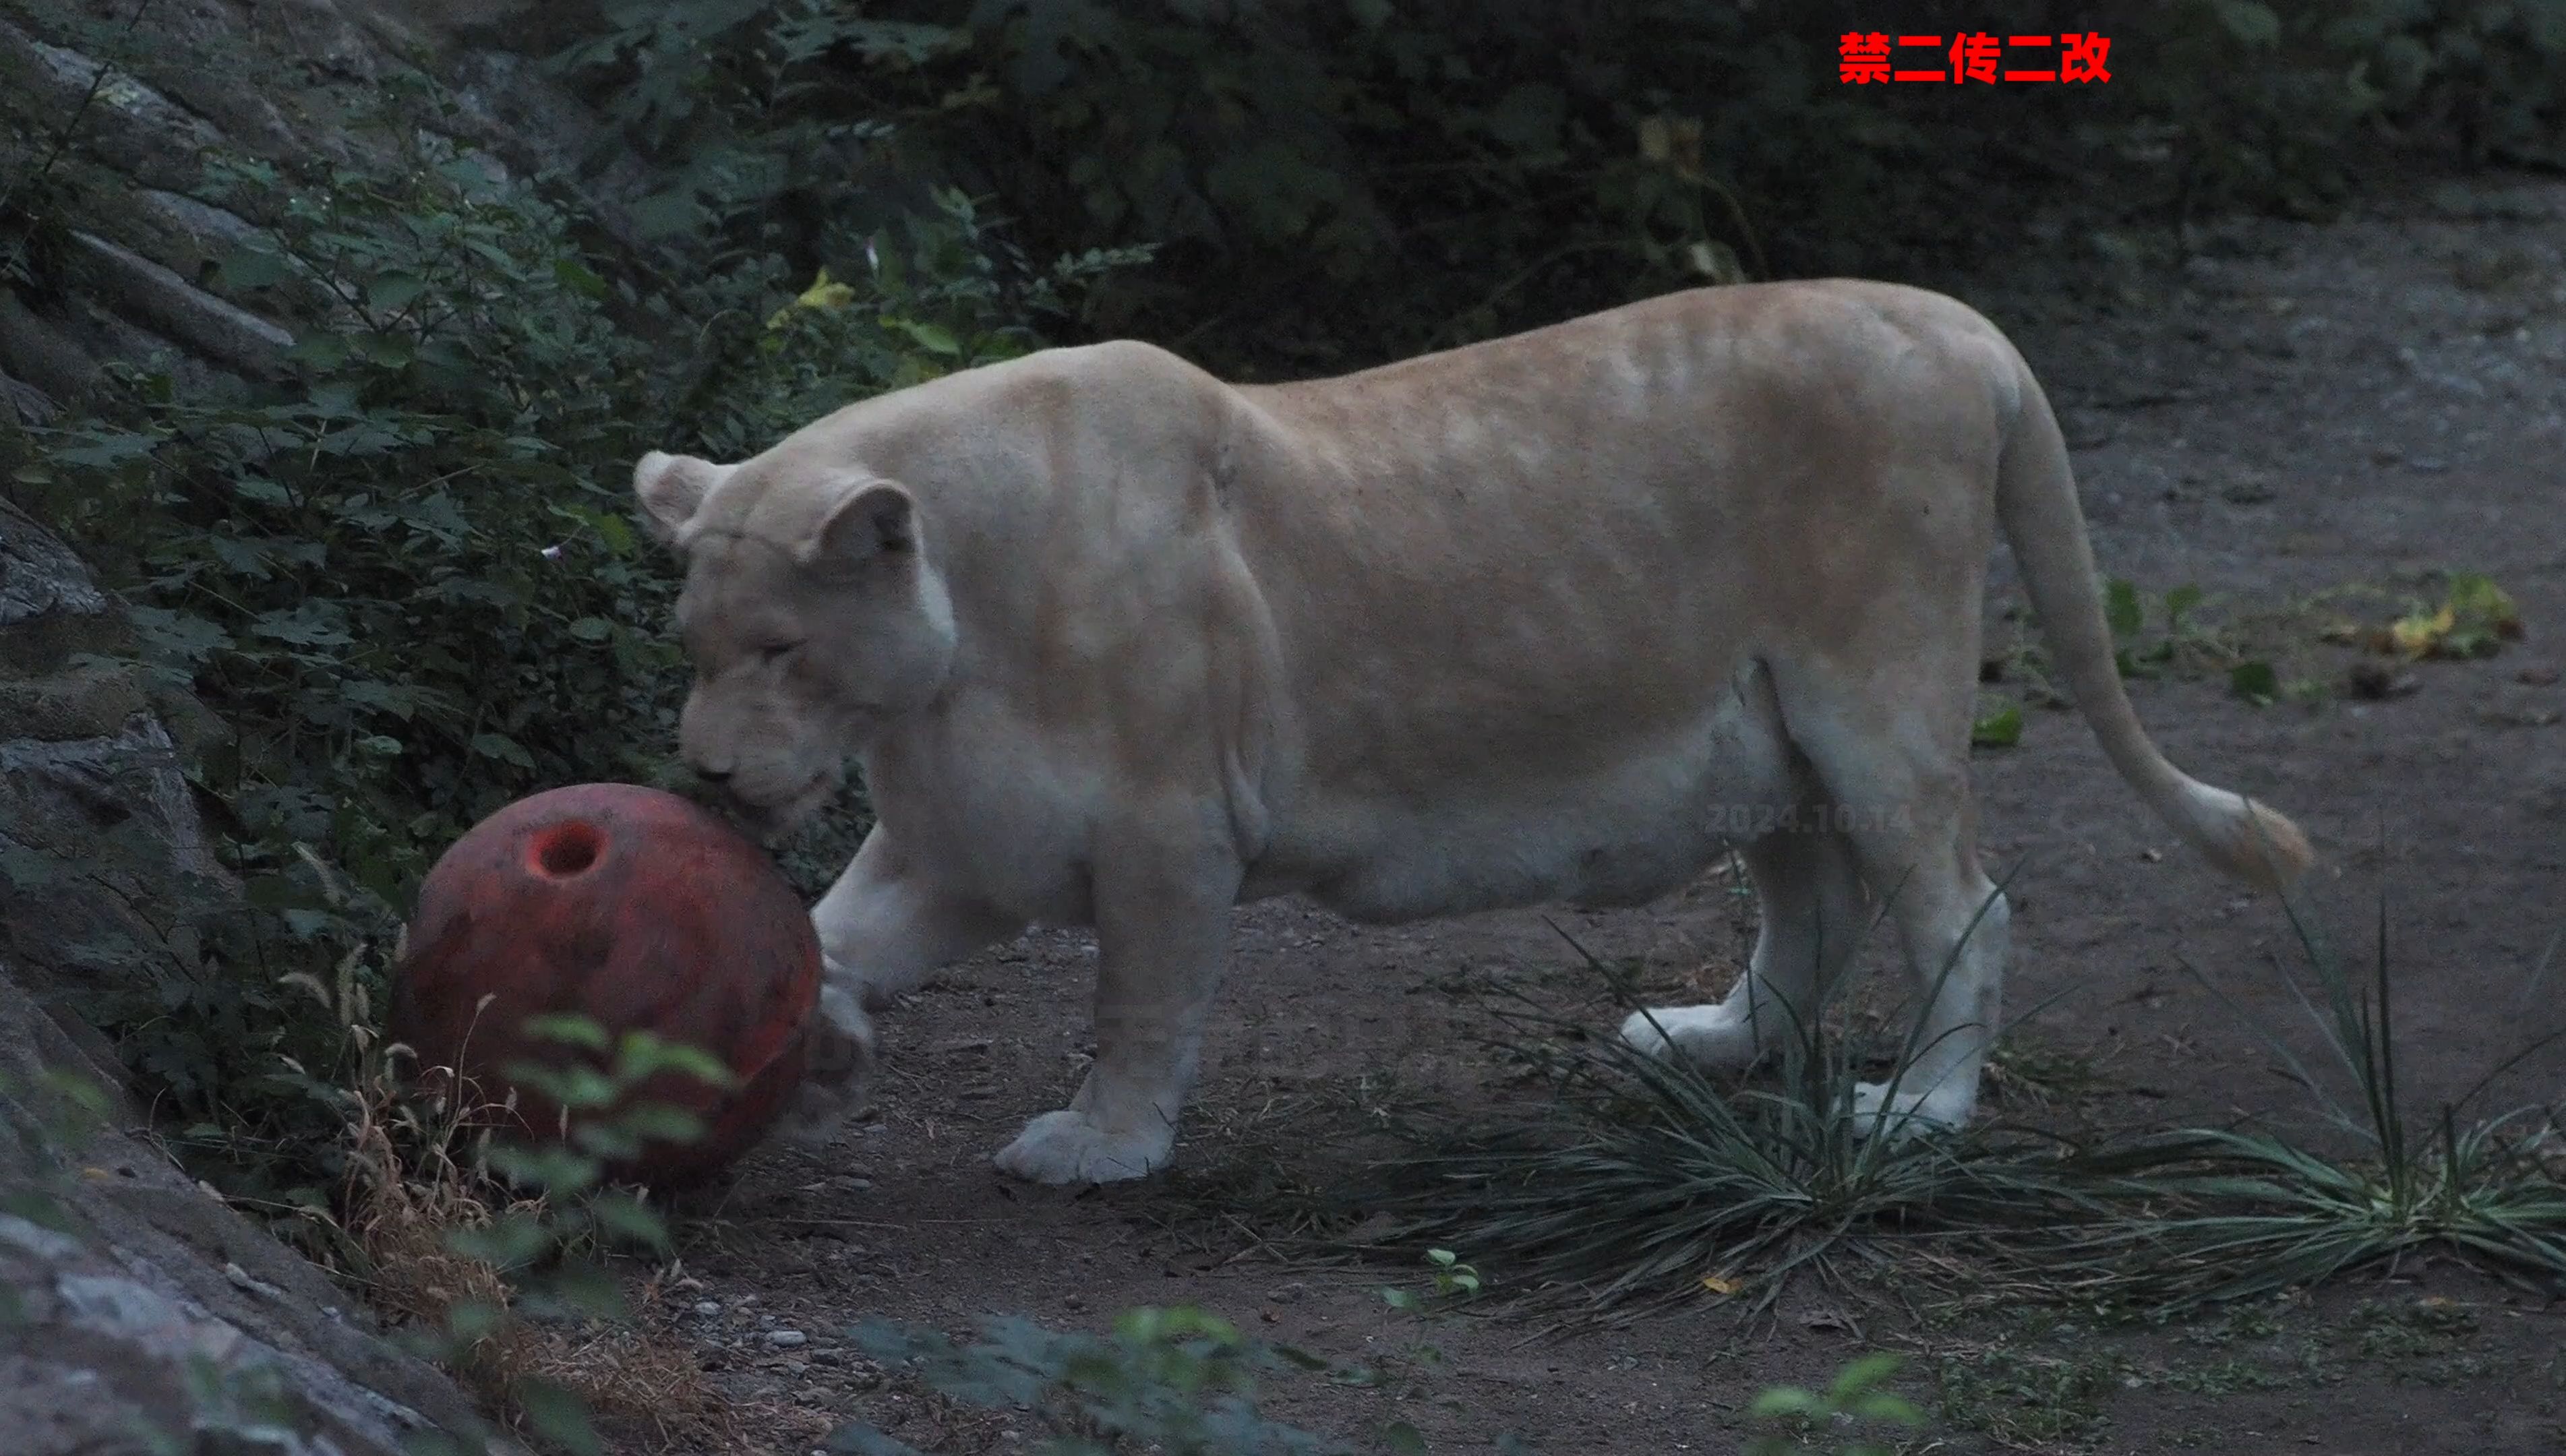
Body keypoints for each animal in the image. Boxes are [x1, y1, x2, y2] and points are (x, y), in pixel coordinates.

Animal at [631, 282, 2319, 1184]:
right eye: (695, 649)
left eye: (779, 647)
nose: (702, 772)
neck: (942, 669)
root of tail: (1956, 324)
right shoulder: (961, 843)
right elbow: (827, 934)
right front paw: (815, 1046)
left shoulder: (1169, 835)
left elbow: (1138, 1008)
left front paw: (1098, 1149)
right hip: (1761, 732)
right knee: (1815, 901)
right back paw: (1714, 1041)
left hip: (1873, 697)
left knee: (1961, 901)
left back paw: (1917, 1113)